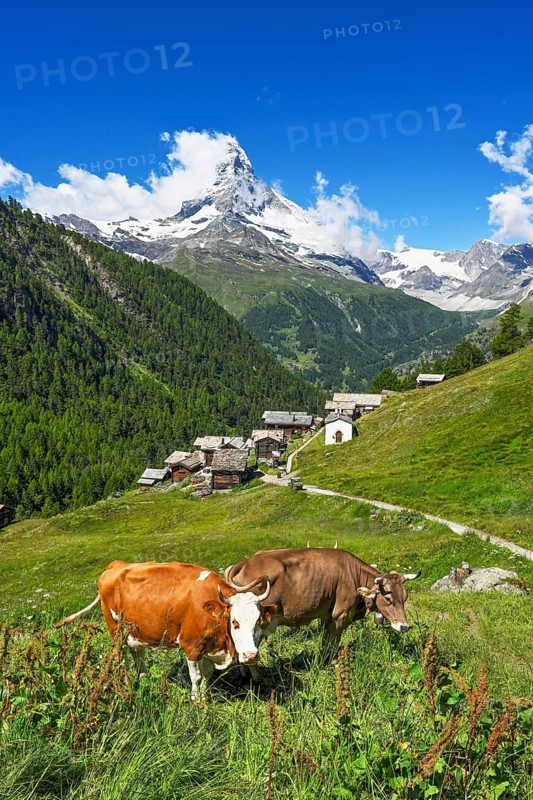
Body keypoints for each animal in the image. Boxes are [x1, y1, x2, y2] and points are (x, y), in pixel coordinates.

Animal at [55, 560, 275, 700]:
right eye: (235, 622)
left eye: (258, 621)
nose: (250, 655)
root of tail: (116, 565)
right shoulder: (190, 646)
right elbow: (196, 677)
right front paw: (196, 701)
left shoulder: (208, 646)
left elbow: (207, 676)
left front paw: (205, 699)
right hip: (115, 630)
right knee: (121, 659)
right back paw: (126, 685)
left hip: (135, 632)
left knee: (138, 656)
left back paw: (142, 680)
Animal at [225, 547, 420, 671]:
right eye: (388, 598)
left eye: (405, 597)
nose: (404, 626)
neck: (354, 575)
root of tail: (245, 562)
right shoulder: (340, 616)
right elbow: (332, 645)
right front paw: (329, 665)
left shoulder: (328, 618)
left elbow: (326, 643)